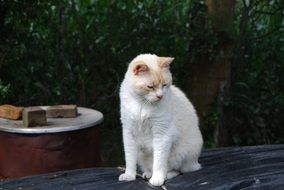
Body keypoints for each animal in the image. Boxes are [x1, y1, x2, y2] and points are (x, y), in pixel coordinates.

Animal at [118, 53, 203, 186]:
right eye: (150, 87)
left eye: (164, 85)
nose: (160, 96)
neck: (142, 103)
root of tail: (196, 163)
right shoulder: (128, 132)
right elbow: (130, 158)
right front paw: (129, 176)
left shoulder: (161, 134)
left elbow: (159, 162)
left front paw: (157, 179)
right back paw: (148, 174)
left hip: (180, 154)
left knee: (178, 170)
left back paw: (165, 176)